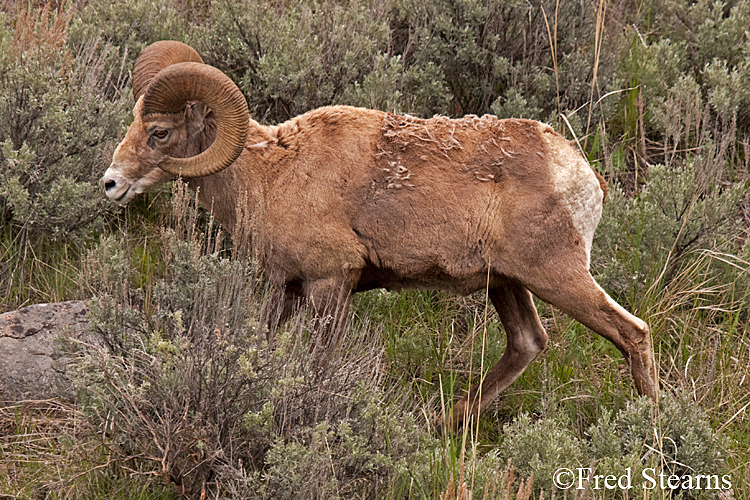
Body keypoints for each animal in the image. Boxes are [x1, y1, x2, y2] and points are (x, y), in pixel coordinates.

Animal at [103, 41, 660, 432]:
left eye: (158, 132)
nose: (111, 183)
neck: (270, 174)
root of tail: (582, 175)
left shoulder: (330, 283)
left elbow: (316, 363)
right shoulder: (285, 286)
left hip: (556, 276)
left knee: (632, 333)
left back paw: (650, 428)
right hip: (507, 283)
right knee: (527, 342)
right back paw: (443, 423)